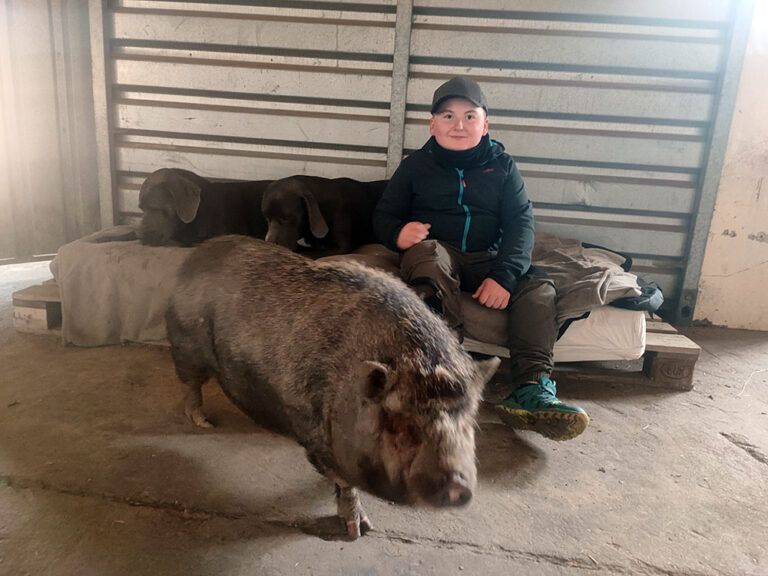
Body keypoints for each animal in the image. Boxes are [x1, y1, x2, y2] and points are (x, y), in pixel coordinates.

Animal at [165, 235, 499, 539]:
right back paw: (203, 422)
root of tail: (196, 254)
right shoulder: (317, 435)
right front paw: (358, 531)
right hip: (185, 342)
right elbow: (344, 483)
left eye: (469, 422)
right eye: (400, 425)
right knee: (190, 382)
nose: (457, 484)